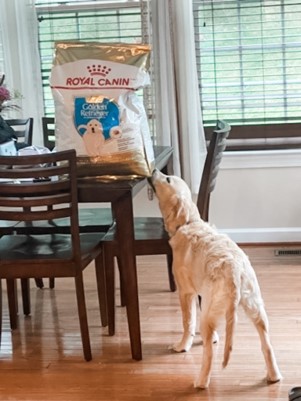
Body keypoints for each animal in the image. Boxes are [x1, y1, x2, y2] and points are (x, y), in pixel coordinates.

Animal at [149, 168, 282, 388]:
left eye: (167, 179)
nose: (153, 170)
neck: (189, 222)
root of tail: (234, 268)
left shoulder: (186, 292)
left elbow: (187, 322)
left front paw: (182, 345)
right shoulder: (203, 295)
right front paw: (212, 338)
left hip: (210, 315)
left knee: (209, 356)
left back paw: (201, 381)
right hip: (255, 307)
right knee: (267, 345)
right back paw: (274, 376)